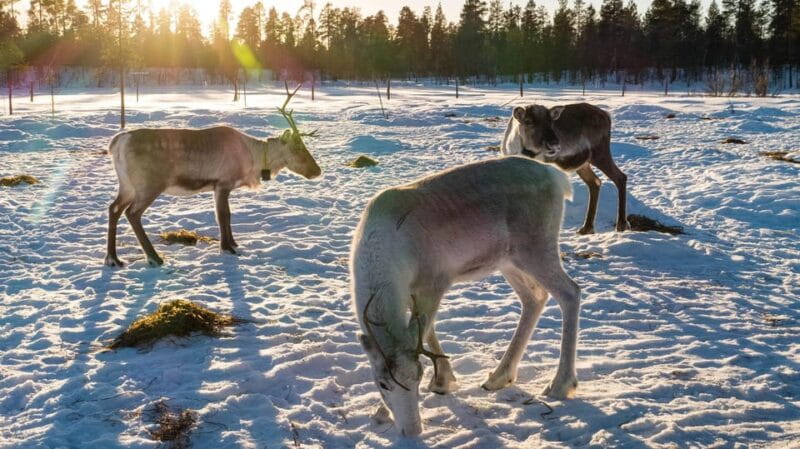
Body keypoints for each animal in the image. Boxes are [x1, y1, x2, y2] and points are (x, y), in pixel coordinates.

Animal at [104, 84, 321, 268]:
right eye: (297, 148)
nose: (317, 171)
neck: (253, 159)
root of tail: (117, 142)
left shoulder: (219, 186)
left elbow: (225, 215)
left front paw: (233, 243)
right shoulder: (223, 182)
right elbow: (224, 215)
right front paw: (228, 247)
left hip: (127, 185)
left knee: (114, 208)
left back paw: (113, 258)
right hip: (149, 185)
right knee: (132, 213)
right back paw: (153, 257)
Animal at [351, 157, 581, 437]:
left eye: (418, 375)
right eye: (382, 383)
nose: (413, 430)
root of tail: (557, 176)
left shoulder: (435, 281)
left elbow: (427, 329)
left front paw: (442, 381)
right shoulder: (414, 292)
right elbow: (427, 331)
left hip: (536, 247)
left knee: (570, 292)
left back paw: (560, 384)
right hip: (508, 260)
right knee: (534, 297)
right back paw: (498, 377)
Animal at [502, 103, 630, 234]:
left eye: (551, 122)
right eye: (528, 121)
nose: (554, 144)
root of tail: (606, 116)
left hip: (599, 153)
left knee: (620, 177)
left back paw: (621, 224)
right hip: (584, 164)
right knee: (595, 182)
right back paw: (587, 228)